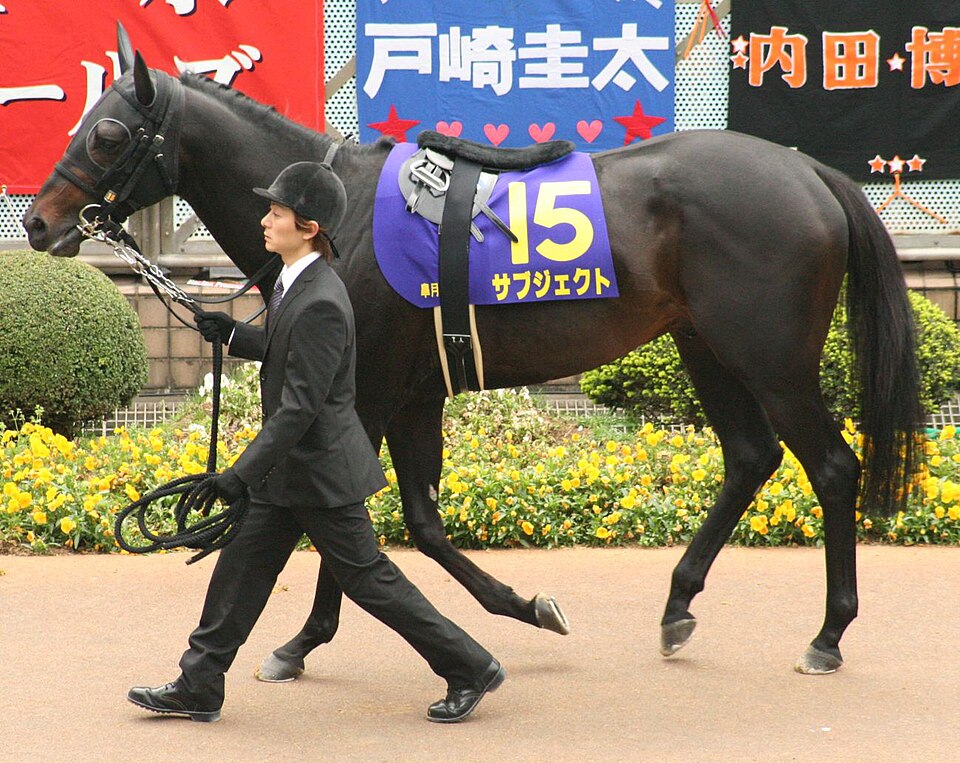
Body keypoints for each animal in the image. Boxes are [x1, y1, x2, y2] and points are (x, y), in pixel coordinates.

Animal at [24, 37, 920, 678]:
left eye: (107, 132)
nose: (37, 221)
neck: (341, 215)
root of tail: (809, 170)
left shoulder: (370, 385)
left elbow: (355, 518)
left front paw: (307, 638)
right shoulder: (416, 392)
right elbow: (417, 519)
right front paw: (517, 607)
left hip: (771, 356)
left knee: (830, 465)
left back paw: (828, 632)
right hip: (704, 343)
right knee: (750, 455)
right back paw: (677, 607)